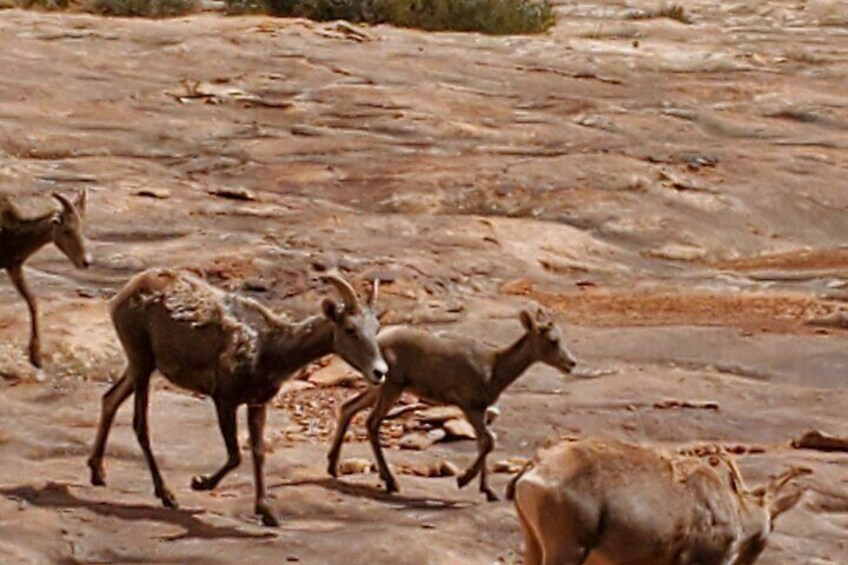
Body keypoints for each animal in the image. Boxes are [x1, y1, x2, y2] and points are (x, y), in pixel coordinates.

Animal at [0, 189, 90, 366]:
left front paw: (36, 356)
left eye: (82, 228)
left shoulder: (14, 267)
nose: (86, 262)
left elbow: (33, 302)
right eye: (67, 230)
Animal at [87, 268, 388, 524]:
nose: (380, 372)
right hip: (141, 360)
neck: (269, 349)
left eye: (376, 328)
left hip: (140, 365)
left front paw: (267, 512)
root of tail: (122, 296)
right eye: (349, 329)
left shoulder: (257, 404)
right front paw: (200, 483)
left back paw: (97, 473)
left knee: (110, 399)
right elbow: (235, 456)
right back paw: (167, 496)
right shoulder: (224, 400)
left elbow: (258, 453)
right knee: (140, 424)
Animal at [328, 308, 580, 502]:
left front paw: (488, 491)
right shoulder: (470, 406)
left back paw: (333, 468)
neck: (495, 369)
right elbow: (489, 441)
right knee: (372, 422)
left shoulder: (480, 410)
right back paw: (391, 483)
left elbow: (483, 442)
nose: (571, 363)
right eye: (553, 340)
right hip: (392, 386)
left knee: (348, 407)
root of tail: (377, 344)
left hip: (378, 386)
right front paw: (463, 480)